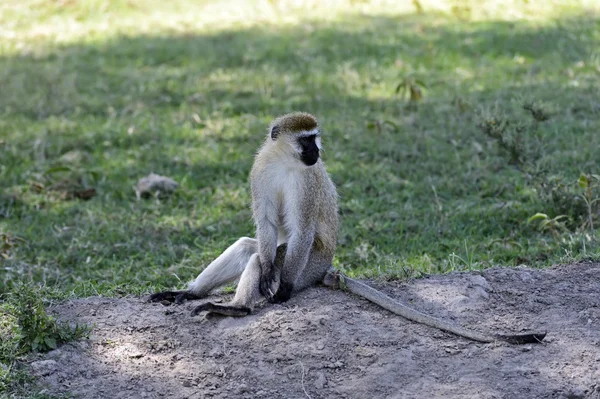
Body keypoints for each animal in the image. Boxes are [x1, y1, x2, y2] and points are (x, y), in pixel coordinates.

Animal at [149, 113, 544, 346]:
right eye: (306, 139)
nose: (317, 152)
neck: (284, 161)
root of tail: (328, 269)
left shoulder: (307, 184)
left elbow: (302, 231)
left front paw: (282, 290)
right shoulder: (259, 171)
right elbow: (265, 225)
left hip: (311, 264)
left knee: (270, 257)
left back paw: (239, 309)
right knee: (253, 249)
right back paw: (190, 294)